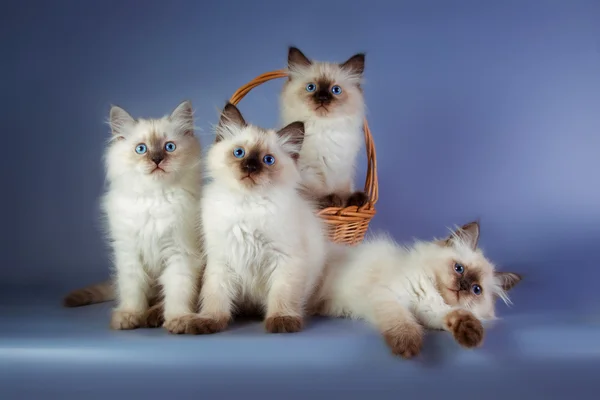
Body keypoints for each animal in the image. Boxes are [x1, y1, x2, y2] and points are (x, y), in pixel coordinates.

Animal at [280, 46, 368, 209]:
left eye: (336, 90)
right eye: (311, 87)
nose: (322, 98)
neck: (323, 130)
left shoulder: (342, 172)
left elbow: (345, 192)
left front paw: (355, 200)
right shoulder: (308, 174)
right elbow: (316, 195)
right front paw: (331, 201)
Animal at [312, 222, 524, 360]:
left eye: (476, 289)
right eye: (459, 269)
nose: (463, 286)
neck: (432, 293)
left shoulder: (431, 313)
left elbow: (454, 316)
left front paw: (471, 334)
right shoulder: (389, 296)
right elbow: (402, 322)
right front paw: (408, 346)